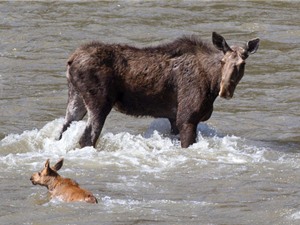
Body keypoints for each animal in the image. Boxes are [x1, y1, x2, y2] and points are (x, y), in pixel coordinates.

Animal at [59, 31, 260, 148]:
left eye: (242, 64)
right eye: (223, 61)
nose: (225, 90)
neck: (211, 82)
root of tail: (70, 60)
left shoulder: (173, 118)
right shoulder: (187, 118)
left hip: (75, 99)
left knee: (63, 130)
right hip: (99, 103)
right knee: (86, 138)